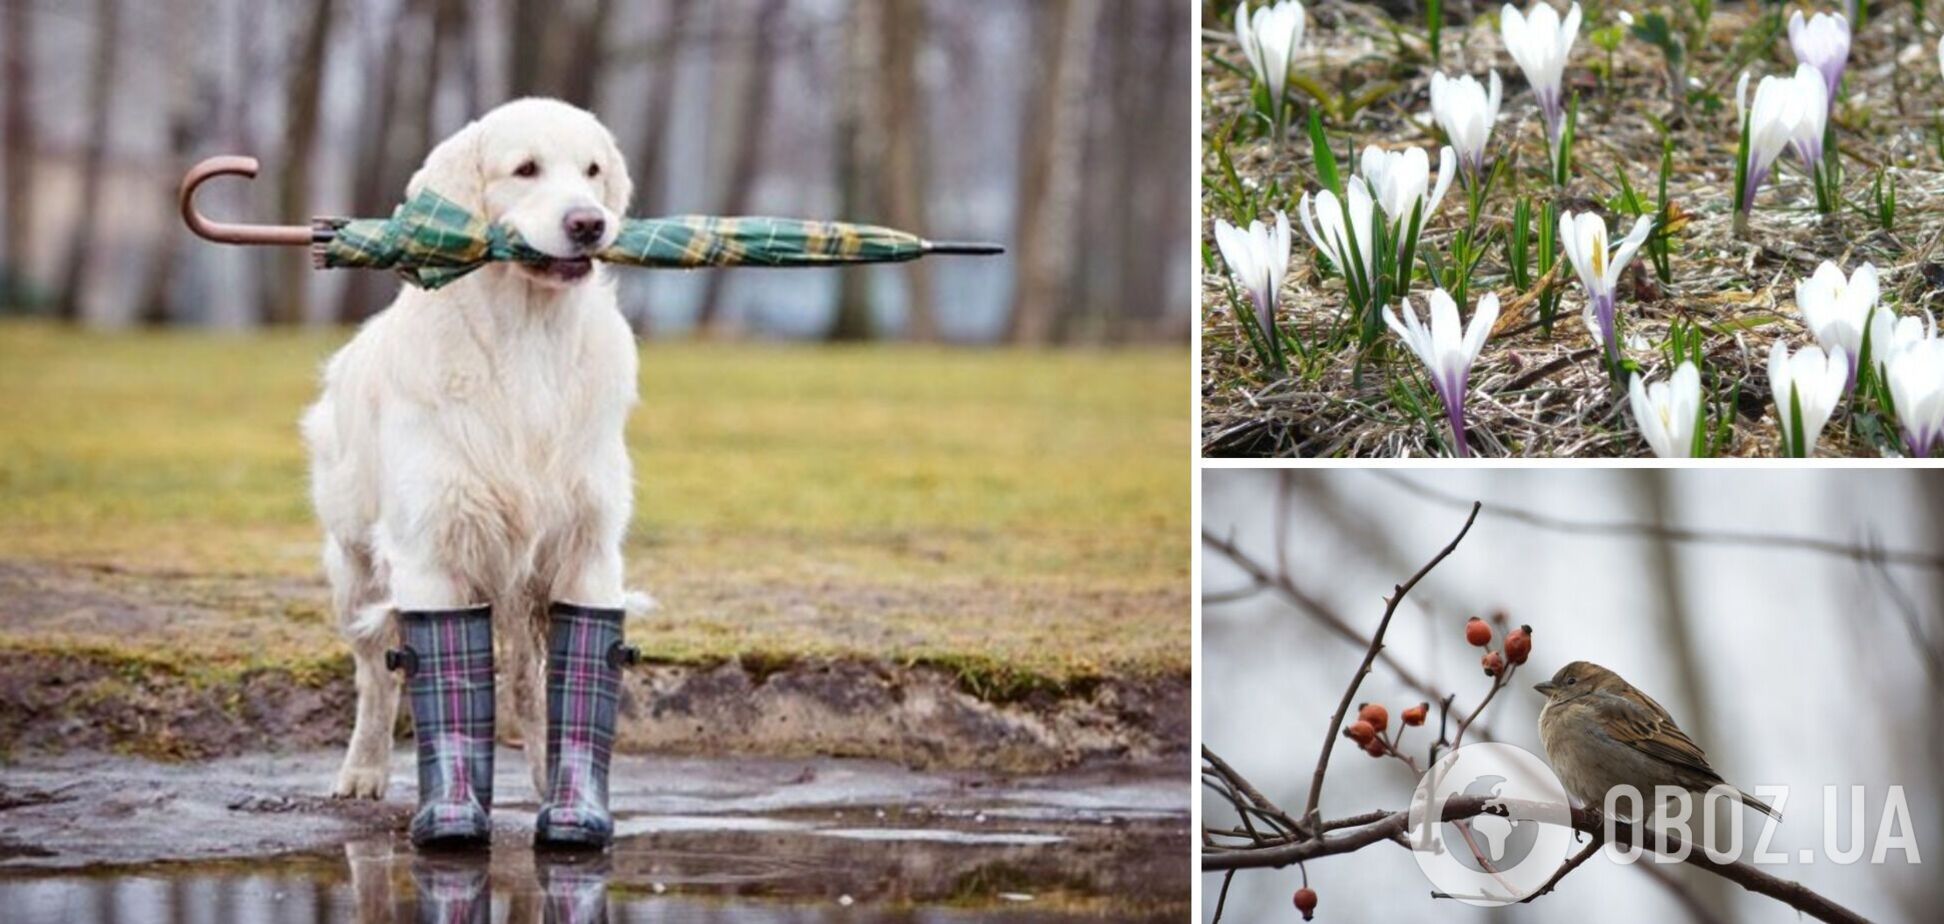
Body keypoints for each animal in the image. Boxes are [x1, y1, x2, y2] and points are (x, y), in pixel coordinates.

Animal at [303, 97, 637, 797]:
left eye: (592, 170)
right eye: (526, 169)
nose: (589, 223)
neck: (529, 338)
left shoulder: (587, 548)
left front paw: (569, 794)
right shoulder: (431, 550)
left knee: (526, 684)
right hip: (354, 568)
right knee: (375, 676)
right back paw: (363, 771)